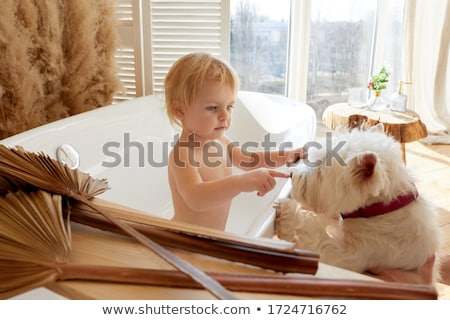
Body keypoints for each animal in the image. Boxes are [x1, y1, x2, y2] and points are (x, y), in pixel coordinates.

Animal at [276, 124, 442, 278]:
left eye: (321, 169)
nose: (291, 174)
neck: (381, 209)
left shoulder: (358, 254)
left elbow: (321, 243)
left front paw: (287, 211)